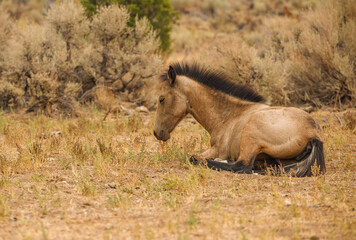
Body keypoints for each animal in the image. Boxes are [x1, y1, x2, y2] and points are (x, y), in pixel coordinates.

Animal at [153, 62, 326, 177]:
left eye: (161, 99)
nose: (156, 133)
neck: (229, 116)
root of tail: (314, 133)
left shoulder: (218, 149)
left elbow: (193, 156)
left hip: (251, 134)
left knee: (241, 165)